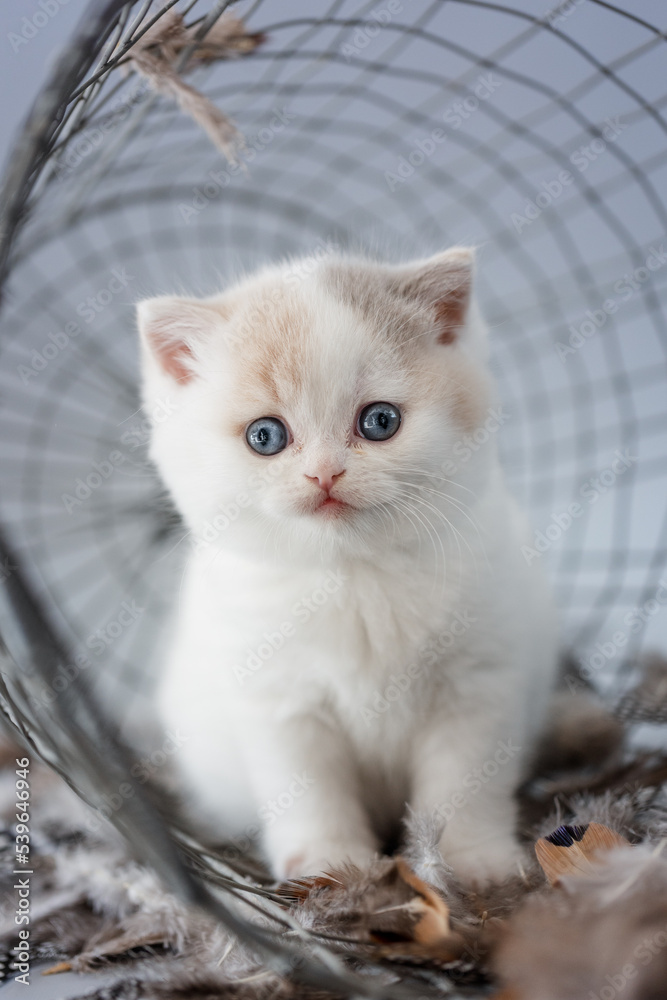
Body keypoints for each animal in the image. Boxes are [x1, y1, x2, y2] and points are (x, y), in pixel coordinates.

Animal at [137, 250, 560, 884]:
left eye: (379, 421)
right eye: (265, 436)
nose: (325, 473)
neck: (354, 576)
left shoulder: (480, 682)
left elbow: (465, 782)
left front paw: (473, 861)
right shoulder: (278, 700)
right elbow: (308, 789)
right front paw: (331, 866)